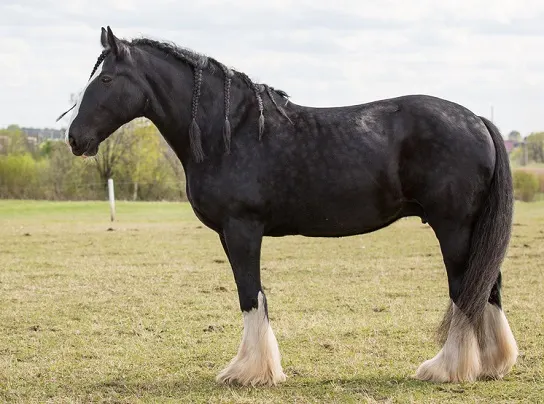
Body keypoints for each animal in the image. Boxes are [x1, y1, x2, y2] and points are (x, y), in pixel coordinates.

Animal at [59, 26, 520, 386]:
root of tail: (478, 120)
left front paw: (249, 372)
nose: (75, 138)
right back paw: (491, 364)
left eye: (106, 79)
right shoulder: (231, 233)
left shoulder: (242, 229)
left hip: (453, 227)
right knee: (487, 286)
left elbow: (250, 294)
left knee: (465, 290)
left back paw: (446, 369)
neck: (230, 132)